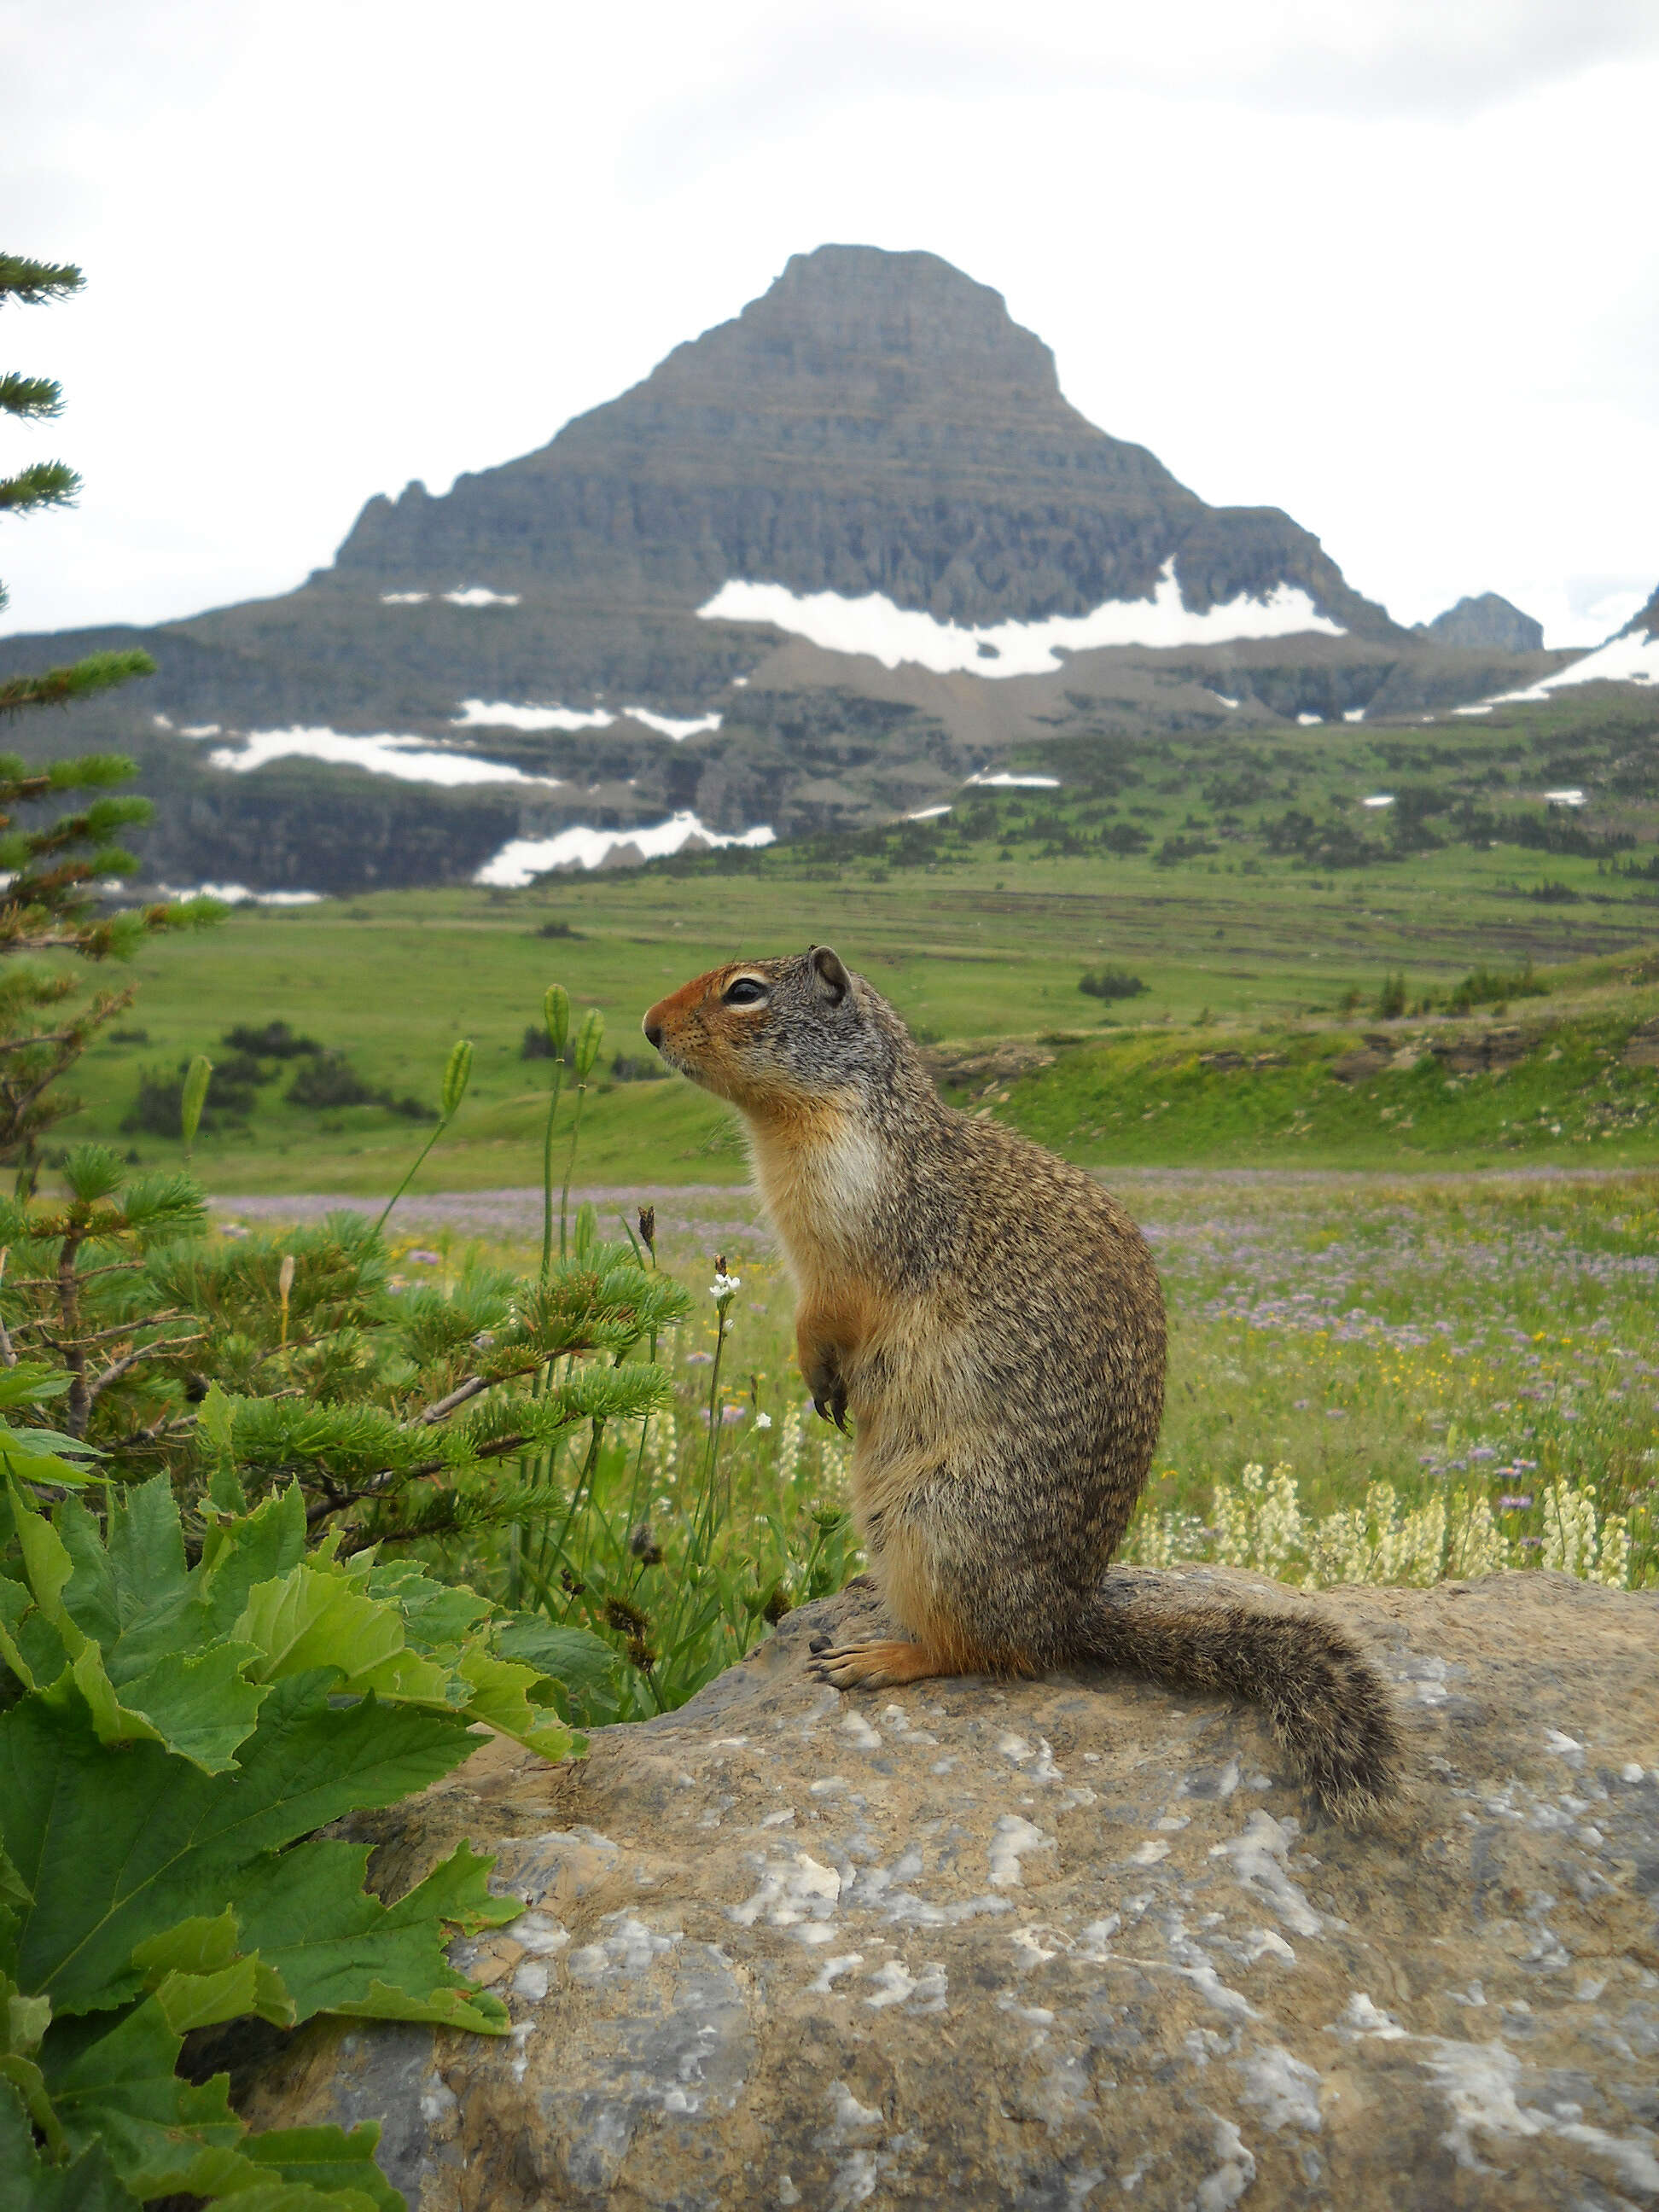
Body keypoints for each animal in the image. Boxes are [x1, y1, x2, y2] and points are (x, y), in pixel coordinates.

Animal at [645, 942, 1406, 1822]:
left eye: (744, 992)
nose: (648, 1025)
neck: (827, 1120)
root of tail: (1066, 1621)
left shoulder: (849, 1232)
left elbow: (828, 1314)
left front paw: (821, 1380)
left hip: (938, 1524)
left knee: (987, 1653)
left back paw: (879, 1657)